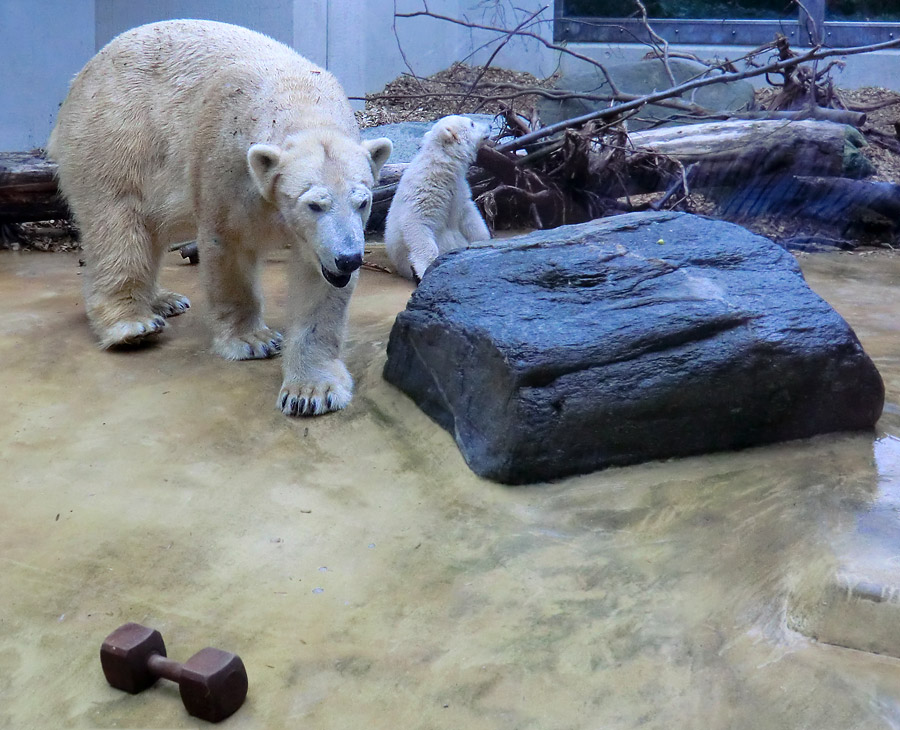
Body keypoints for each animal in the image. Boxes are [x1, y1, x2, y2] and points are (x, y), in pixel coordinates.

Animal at [49, 19, 392, 416]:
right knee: (119, 223)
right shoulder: (228, 164)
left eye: (362, 202)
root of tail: (80, 77)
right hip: (116, 135)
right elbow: (229, 246)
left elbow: (318, 284)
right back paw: (133, 324)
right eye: (314, 205)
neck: (299, 97)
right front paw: (254, 340)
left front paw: (311, 391)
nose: (349, 258)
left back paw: (165, 300)